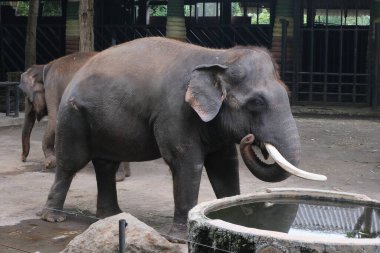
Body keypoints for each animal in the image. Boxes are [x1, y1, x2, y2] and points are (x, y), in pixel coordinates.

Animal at [18, 52, 131, 180]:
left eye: (27, 97)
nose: (23, 159)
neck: (43, 67)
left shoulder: (52, 88)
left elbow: (54, 119)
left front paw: (49, 164)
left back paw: (118, 177)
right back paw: (125, 174)